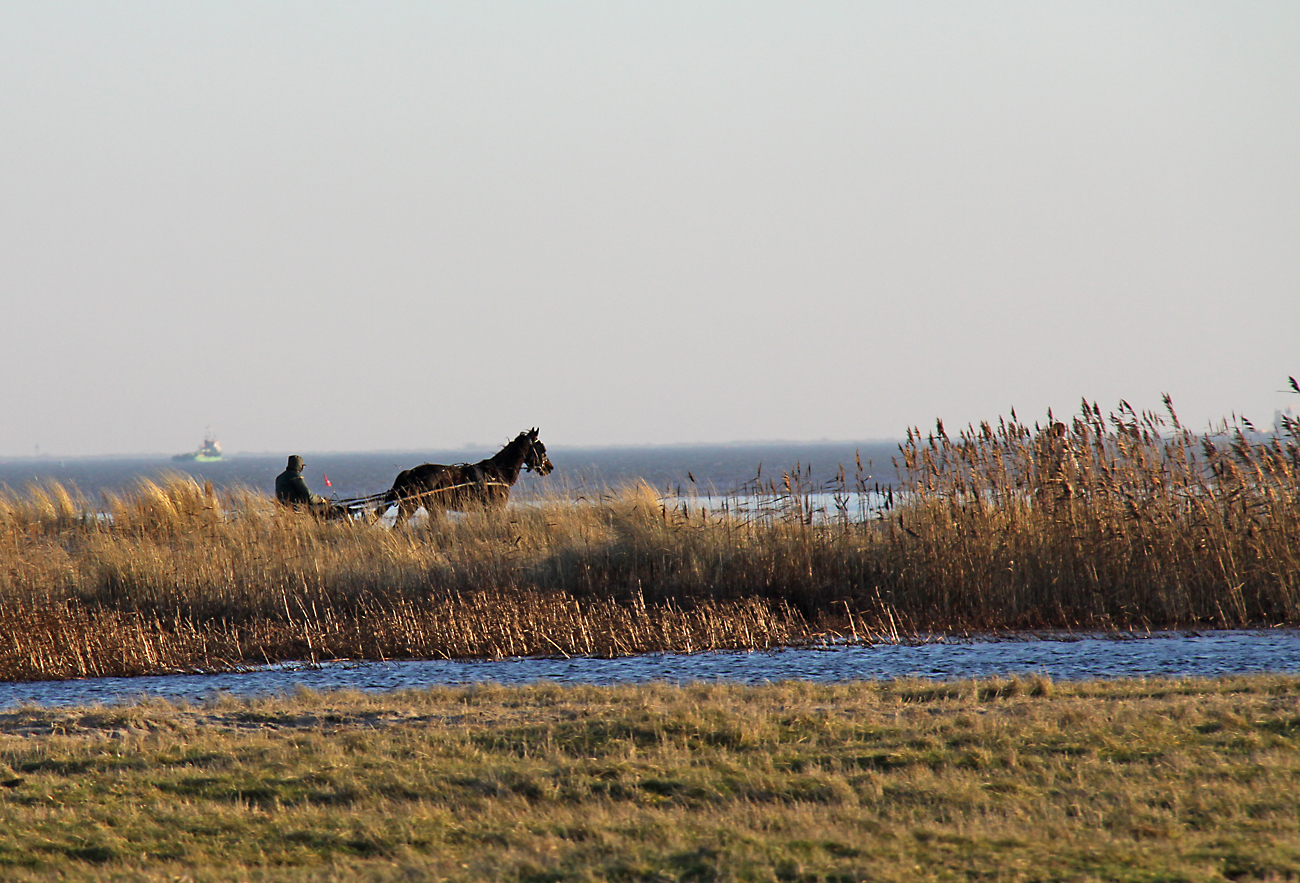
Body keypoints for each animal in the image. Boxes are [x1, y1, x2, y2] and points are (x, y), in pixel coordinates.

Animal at [379, 429, 556, 525]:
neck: (497, 473)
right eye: (541, 447)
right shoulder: (495, 507)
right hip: (413, 505)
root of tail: (411, 472)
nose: (549, 467)